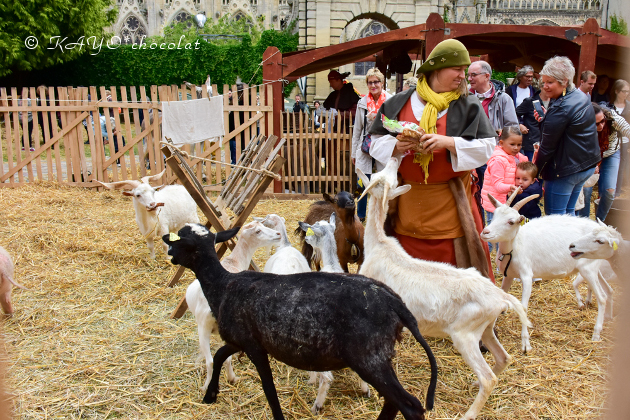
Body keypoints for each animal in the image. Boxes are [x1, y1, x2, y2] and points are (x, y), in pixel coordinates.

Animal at [184, 221, 280, 392]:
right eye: (258, 231)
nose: (278, 234)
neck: (233, 262)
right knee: (217, 359)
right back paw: (223, 381)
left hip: (204, 328)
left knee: (213, 360)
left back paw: (215, 383)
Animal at [298, 215, 372, 416]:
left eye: (313, 228)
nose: (305, 236)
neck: (331, 264)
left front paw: (311, 380)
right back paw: (365, 390)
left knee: (327, 377)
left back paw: (317, 405)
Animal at [358, 158, 532, 420]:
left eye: (386, 176)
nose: (395, 158)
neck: (378, 246)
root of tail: (501, 296)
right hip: (485, 328)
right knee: (503, 358)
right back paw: (476, 383)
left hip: (465, 334)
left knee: (489, 378)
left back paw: (469, 413)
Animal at [484, 189, 612, 348]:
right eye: (494, 215)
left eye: (511, 222)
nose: (485, 232)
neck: (515, 246)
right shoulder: (509, 276)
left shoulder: (527, 276)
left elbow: (524, 307)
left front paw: (525, 343)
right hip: (595, 269)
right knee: (608, 290)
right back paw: (608, 318)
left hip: (588, 269)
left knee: (602, 297)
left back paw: (596, 333)